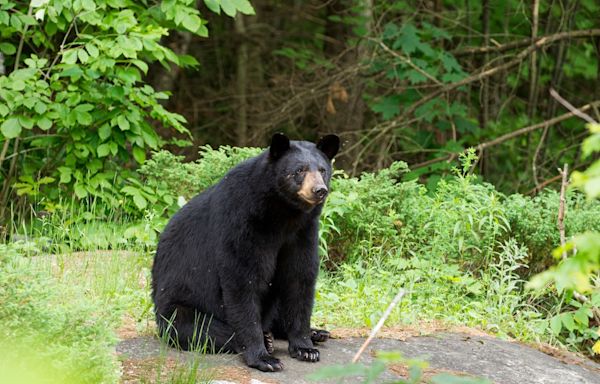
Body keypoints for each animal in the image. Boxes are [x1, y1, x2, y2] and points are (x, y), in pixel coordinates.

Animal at [151, 134, 338, 370]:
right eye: (299, 170)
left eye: (322, 170)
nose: (319, 190)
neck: (283, 215)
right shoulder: (242, 223)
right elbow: (243, 280)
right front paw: (264, 358)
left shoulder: (302, 232)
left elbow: (299, 278)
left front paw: (305, 348)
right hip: (177, 304)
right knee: (199, 328)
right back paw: (266, 340)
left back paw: (316, 332)